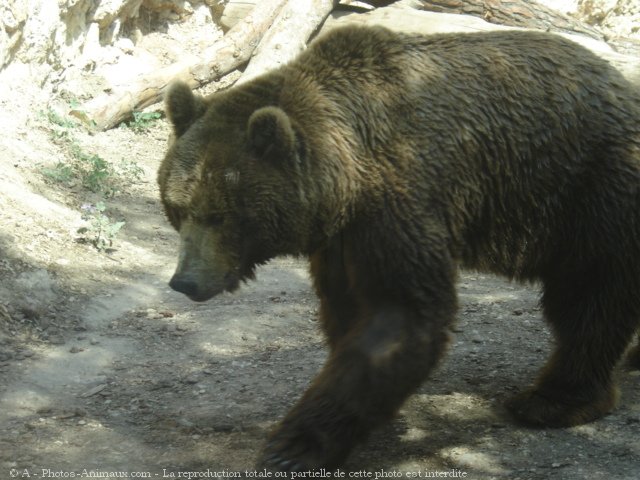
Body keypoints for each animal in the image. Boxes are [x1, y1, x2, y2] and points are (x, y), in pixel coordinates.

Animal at [159, 24, 640, 470]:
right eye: (178, 208)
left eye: (221, 215)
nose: (185, 281)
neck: (345, 174)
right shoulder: (342, 239)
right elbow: (348, 311)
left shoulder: (398, 201)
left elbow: (402, 316)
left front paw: (293, 447)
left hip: (588, 192)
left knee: (587, 298)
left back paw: (553, 400)